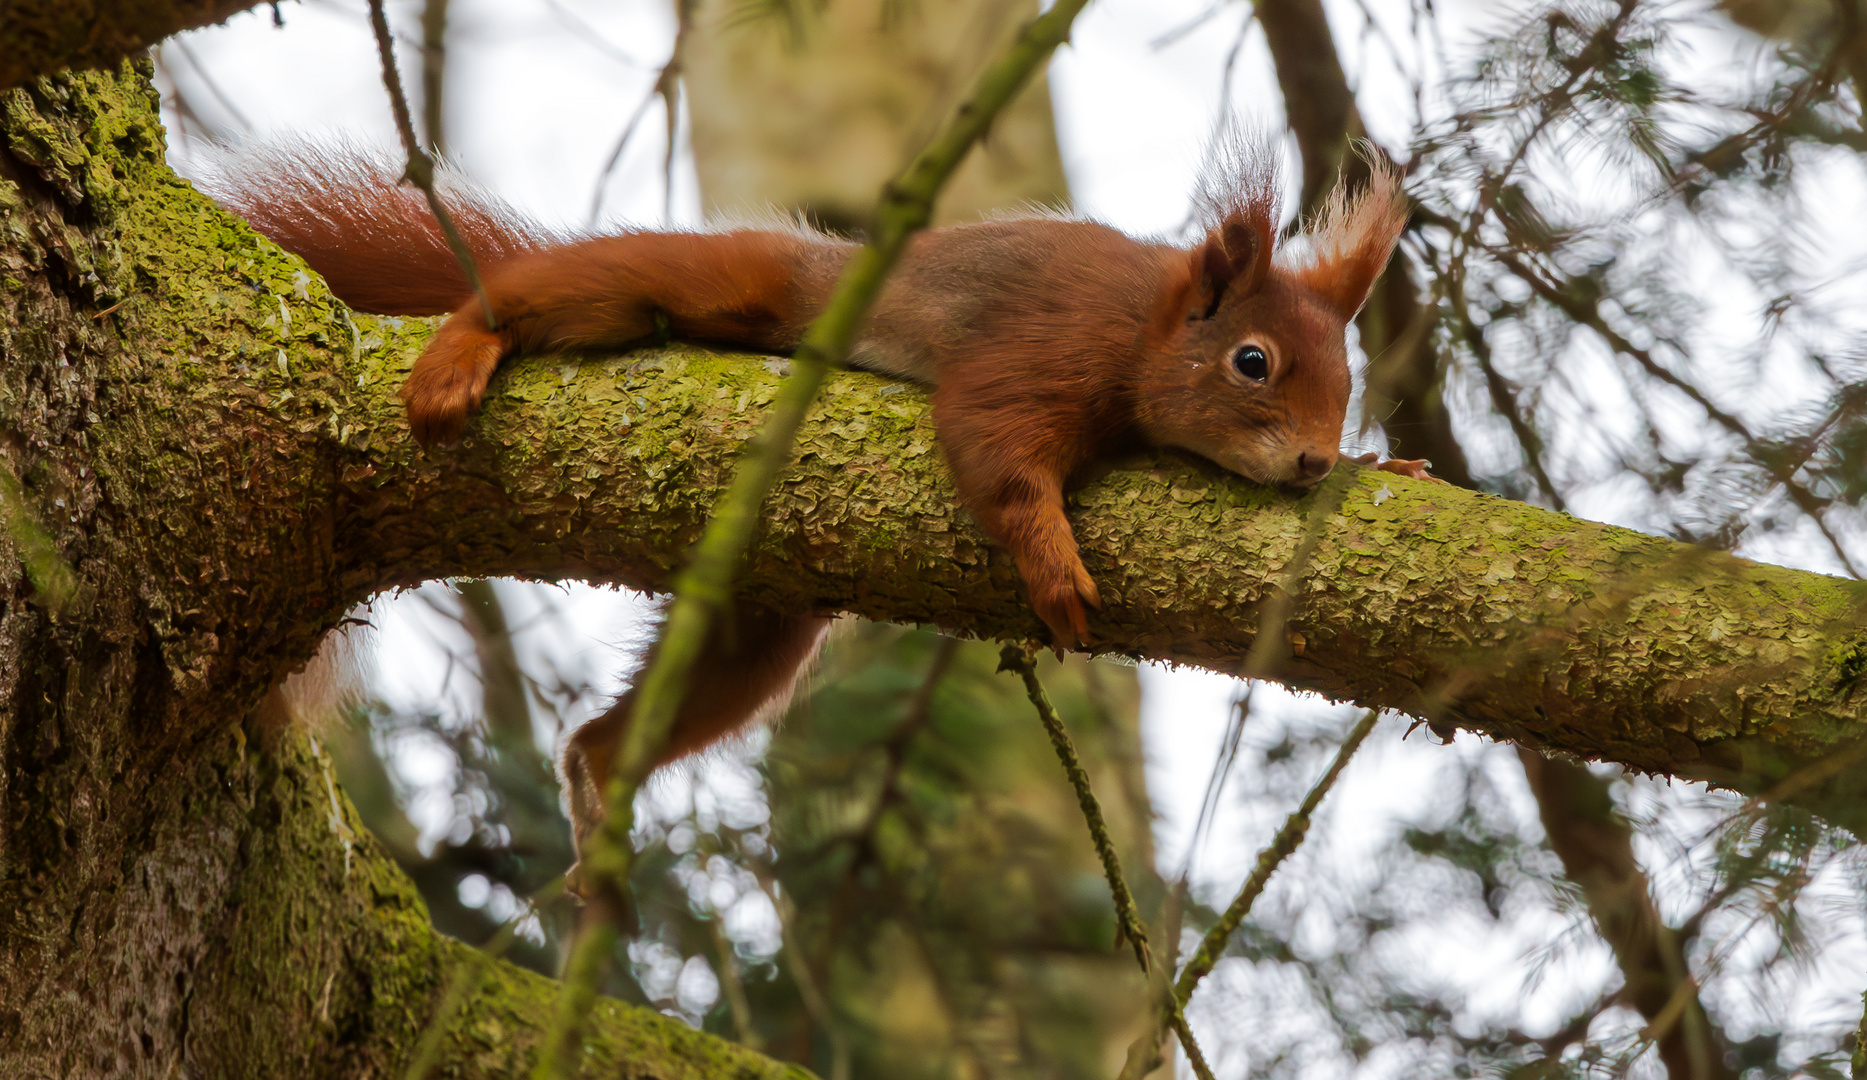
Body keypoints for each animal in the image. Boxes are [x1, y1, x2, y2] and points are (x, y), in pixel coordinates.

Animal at [204, 138, 1411, 859]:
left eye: (1346, 379)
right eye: (1252, 364)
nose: (1314, 461)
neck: (1149, 326)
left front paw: (1385, 468)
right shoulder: (1041, 352)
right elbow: (996, 454)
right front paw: (1054, 565)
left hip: (763, 612)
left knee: (680, 691)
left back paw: (600, 774)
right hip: (742, 287)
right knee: (569, 289)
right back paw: (463, 349)